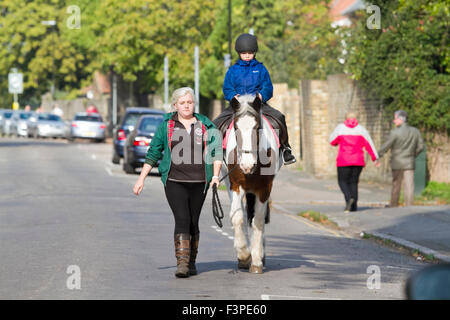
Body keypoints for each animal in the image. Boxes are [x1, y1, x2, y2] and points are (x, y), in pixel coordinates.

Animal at [222, 94, 282, 274]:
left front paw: (256, 260)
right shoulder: (236, 185)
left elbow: (258, 220)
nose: (247, 165)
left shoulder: (264, 189)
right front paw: (244, 256)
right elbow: (237, 217)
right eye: (236, 128)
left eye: (257, 128)